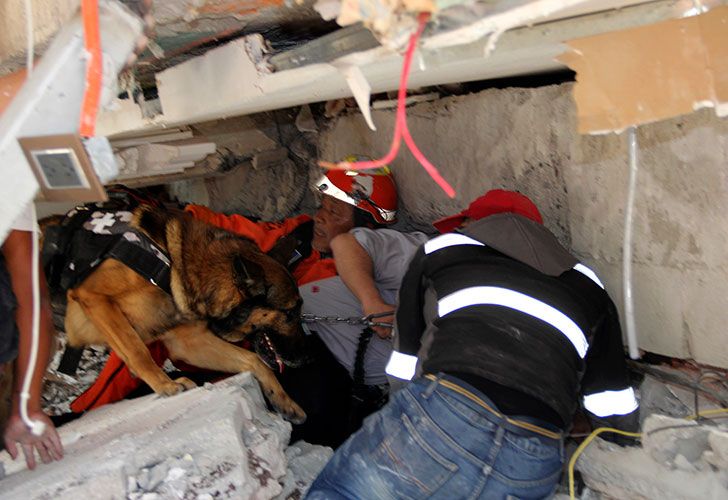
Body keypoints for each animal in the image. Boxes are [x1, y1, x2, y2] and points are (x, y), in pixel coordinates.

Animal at [58, 205, 306, 424]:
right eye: (290, 313)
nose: (306, 358)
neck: (174, 265)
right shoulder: (94, 297)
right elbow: (137, 350)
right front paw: (164, 384)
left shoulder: (189, 343)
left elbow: (254, 360)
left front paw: (285, 402)